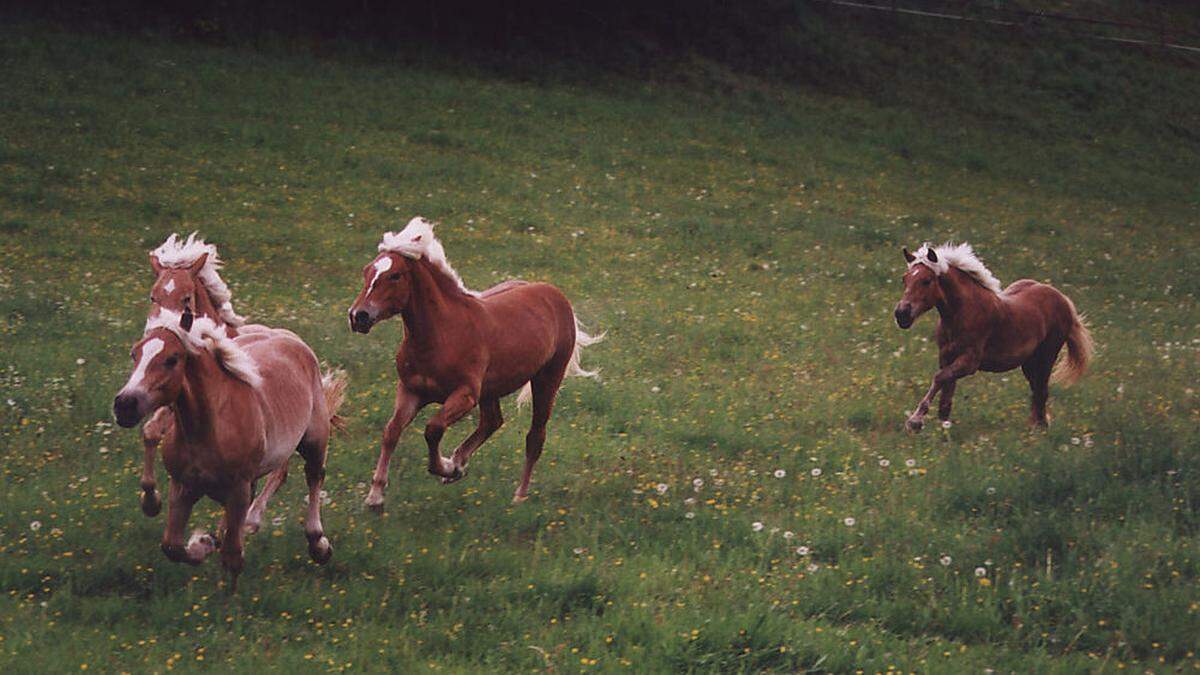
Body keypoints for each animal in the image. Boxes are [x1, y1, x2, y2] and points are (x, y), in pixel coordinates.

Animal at [114, 309, 348, 588]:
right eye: (134, 353)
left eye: (172, 359)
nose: (125, 404)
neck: (207, 428)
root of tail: (292, 339)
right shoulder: (182, 485)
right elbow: (172, 545)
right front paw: (202, 543)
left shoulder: (238, 488)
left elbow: (232, 556)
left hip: (314, 440)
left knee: (313, 476)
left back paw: (318, 545)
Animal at [138, 234, 288, 533]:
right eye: (153, 296)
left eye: (186, 298)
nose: (159, 331)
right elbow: (150, 432)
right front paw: (150, 502)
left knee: (279, 472)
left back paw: (248, 521)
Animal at [348, 214, 604, 504]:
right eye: (367, 271)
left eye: (395, 275)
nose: (358, 316)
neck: (441, 334)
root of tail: (555, 294)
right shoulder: (411, 390)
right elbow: (391, 431)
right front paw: (375, 496)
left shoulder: (465, 395)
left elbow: (433, 428)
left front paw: (447, 467)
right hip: (491, 389)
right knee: (492, 421)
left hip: (547, 378)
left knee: (535, 436)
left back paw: (519, 496)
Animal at [897, 241, 1094, 427]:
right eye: (904, 279)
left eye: (926, 280)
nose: (901, 314)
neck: (962, 313)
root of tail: (1063, 299)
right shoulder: (946, 357)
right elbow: (946, 396)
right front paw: (943, 428)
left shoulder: (969, 362)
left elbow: (938, 379)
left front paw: (915, 421)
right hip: (1029, 363)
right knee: (1036, 391)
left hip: (1047, 357)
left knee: (1042, 392)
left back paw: (1039, 429)